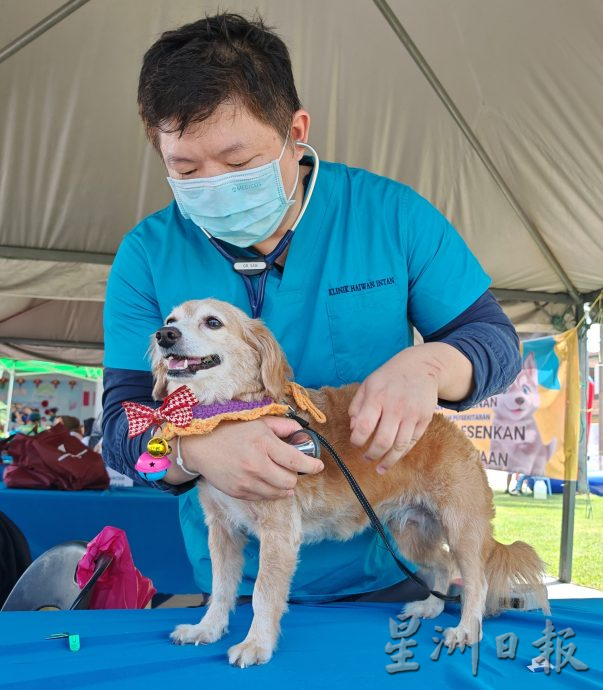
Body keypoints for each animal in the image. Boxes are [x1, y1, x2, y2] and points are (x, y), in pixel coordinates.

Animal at [150, 298, 548, 664]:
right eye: (170, 320)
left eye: (212, 322)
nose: (164, 335)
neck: (232, 412)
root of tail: (451, 428)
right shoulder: (222, 530)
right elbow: (221, 588)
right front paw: (207, 628)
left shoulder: (279, 533)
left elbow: (263, 592)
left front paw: (256, 644)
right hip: (410, 535)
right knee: (443, 565)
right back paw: (429, 608)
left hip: (461, 529)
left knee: (475, 581)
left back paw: (466, 629)